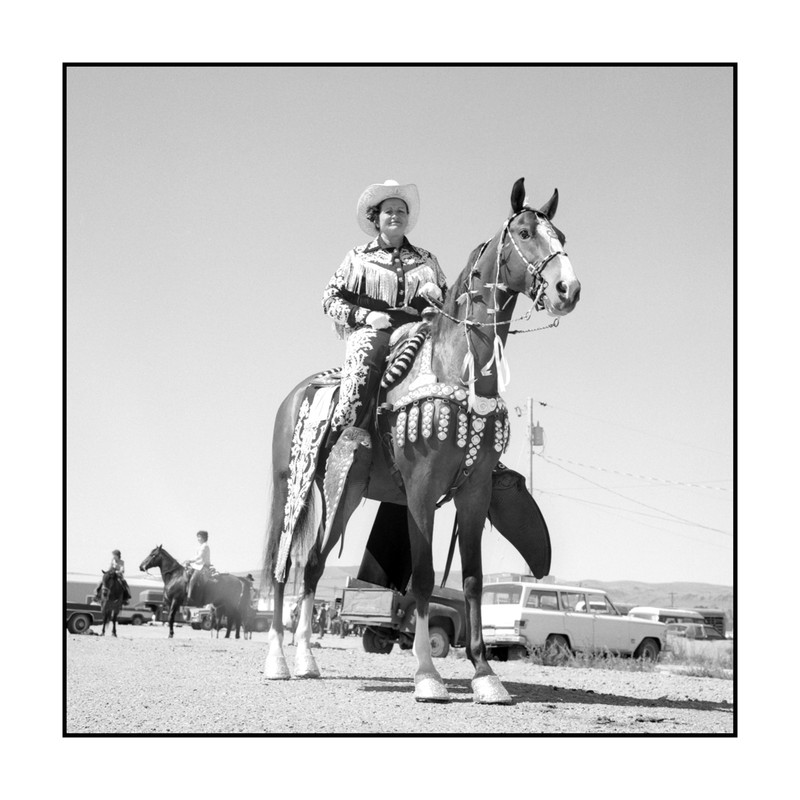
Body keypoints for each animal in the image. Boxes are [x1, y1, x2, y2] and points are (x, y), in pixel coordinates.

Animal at [262, 178, 580, 704]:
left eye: (564, 237)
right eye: (525, 232)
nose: (567, 289)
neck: (456, 370)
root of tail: (295, 395)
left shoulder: (474, 493)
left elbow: (470, 580)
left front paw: (485, 675)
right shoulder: (420, 489)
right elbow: (425, 577)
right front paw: (428, 675)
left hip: (344, 493)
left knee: (311, 565)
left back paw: (307, 659)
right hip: (291, 485)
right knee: (281, 563)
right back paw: (278, 661)